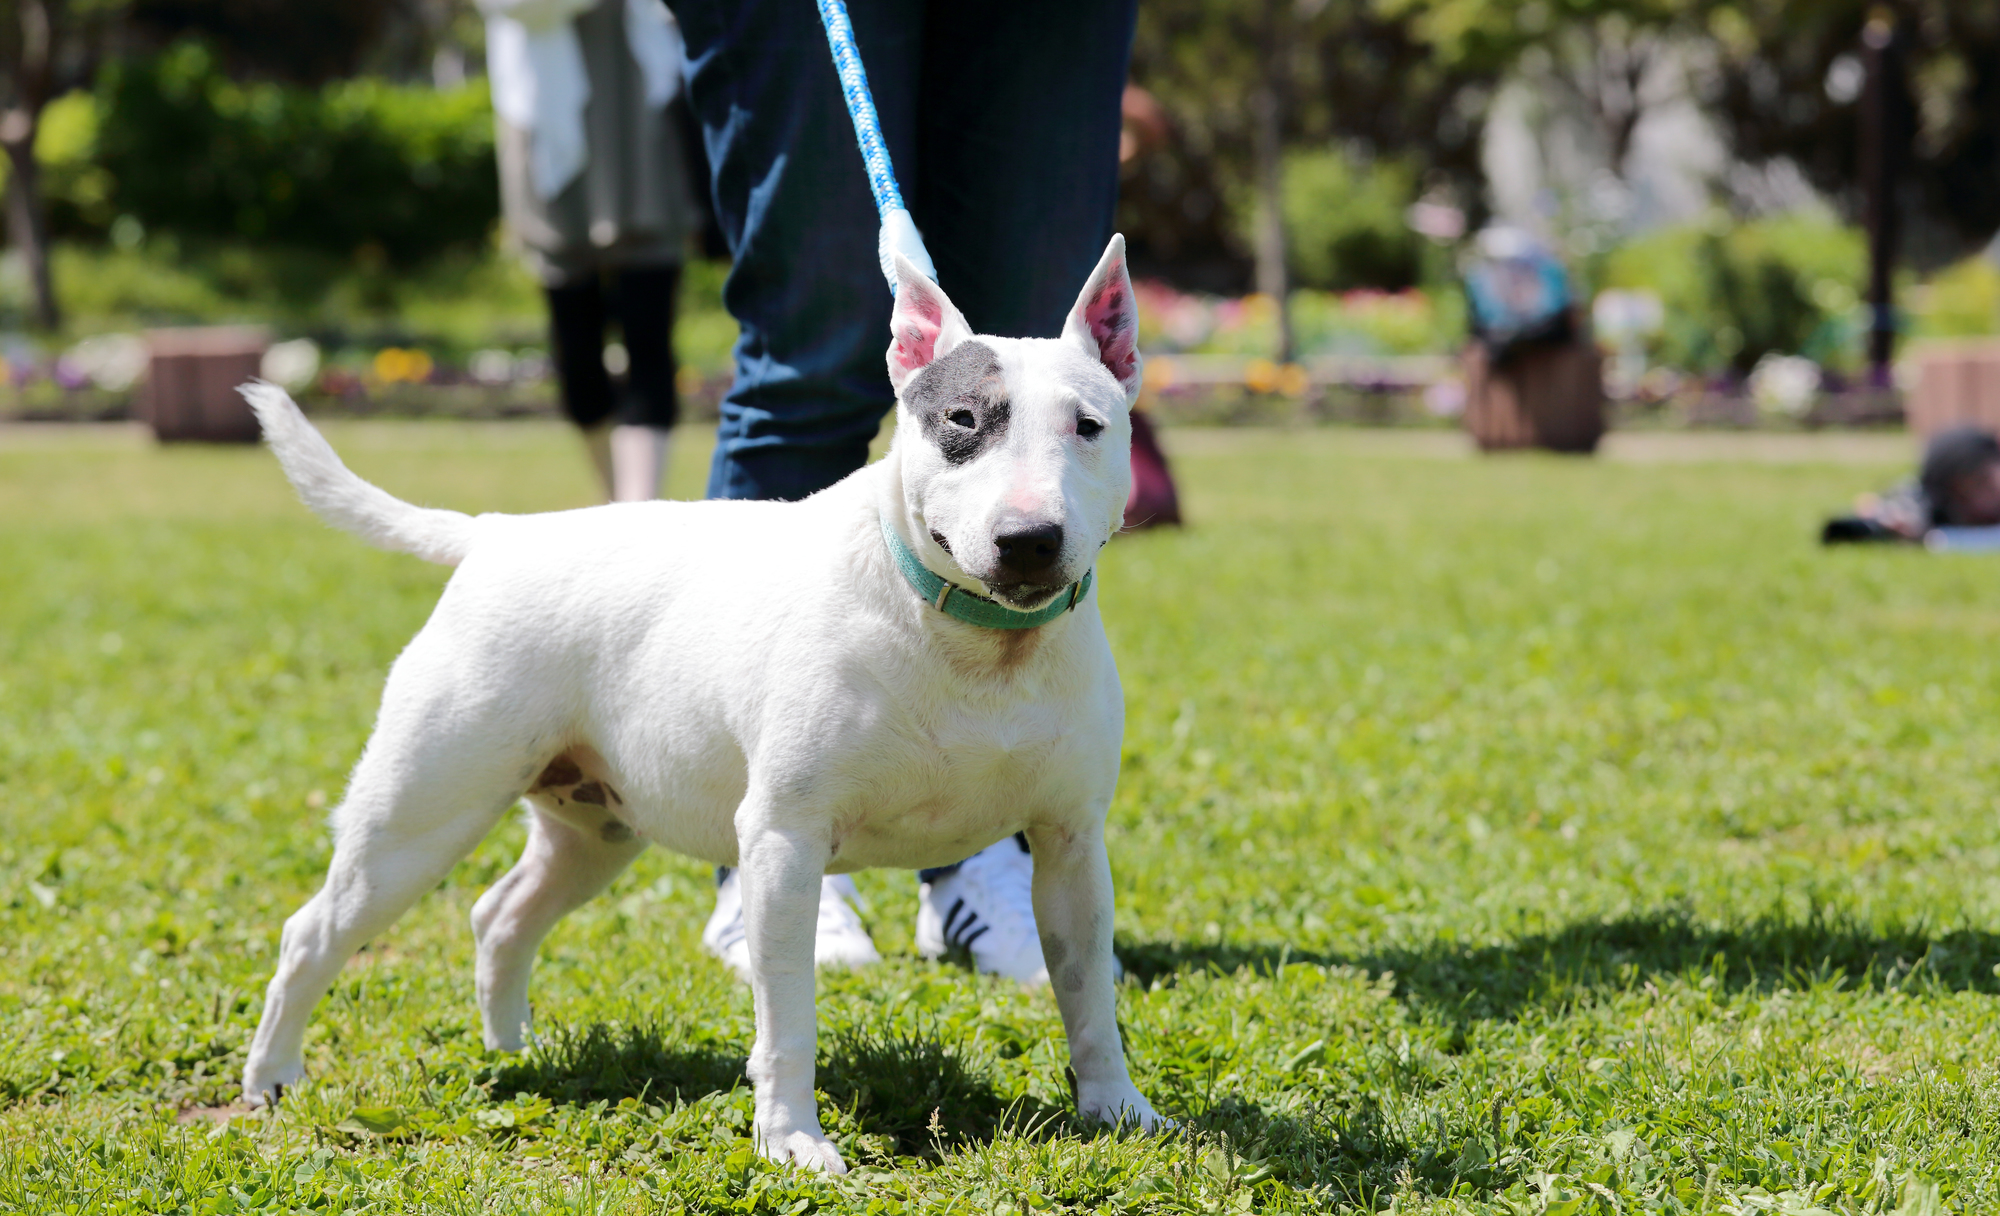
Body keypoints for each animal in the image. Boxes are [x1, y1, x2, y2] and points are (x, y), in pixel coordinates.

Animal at [240, 235, 1168, 1168]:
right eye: (964, 423)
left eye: (1089, 426)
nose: (1029, 541)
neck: (977, 642)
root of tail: (496, 534)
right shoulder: (784, 841)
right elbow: (788, 1012)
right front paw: (793, 1141)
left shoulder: (1070, 844)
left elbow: (1088, 991)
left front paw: (1117, 1107)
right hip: (421, 812)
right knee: (313, 932)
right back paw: (272, 1081)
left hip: (595, 828)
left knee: (501, 915)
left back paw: (515, 1052)